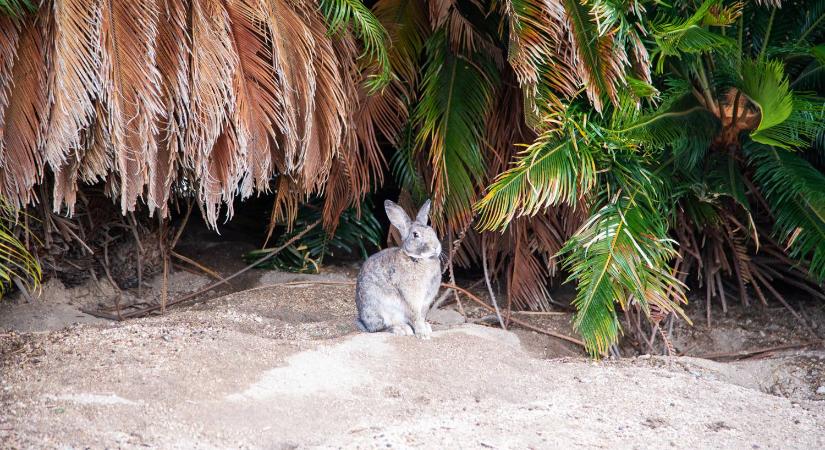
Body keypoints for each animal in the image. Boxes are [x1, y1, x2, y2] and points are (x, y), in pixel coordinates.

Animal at [356, 199, 444, 340]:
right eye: (415, 235)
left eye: (432, 231)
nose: (436, 247)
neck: (417, 259)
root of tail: (363, 321)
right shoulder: (411, 299)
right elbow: (415, 317)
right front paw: (423, 334)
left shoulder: (425, 302)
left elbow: (421, 316)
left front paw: (426, 328)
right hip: (378, 310)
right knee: (380, 328)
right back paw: (401, 329)